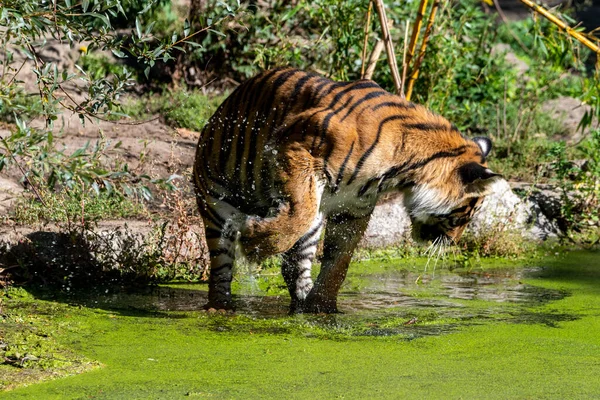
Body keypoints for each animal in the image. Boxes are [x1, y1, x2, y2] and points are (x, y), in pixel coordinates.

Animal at [193, 67, 502, 314]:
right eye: (465, 215)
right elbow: (299, 213)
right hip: (216, 204)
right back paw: (221, 308)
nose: (452, 243)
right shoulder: (297, 148)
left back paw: (301, 304)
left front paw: (323, 308)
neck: (402, 171)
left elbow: (338, 261)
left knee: (295, 266)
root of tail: (218, 112)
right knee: (220, 269)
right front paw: (254, 243)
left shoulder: (354, 207)